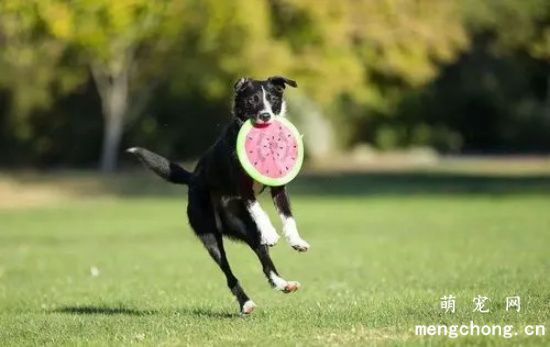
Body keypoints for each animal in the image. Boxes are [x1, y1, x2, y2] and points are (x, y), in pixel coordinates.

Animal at [128, 76, 310, 316]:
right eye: (252, 100)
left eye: (272, 98)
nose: (265, 116)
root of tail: (193, 178)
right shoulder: (244, 188)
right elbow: (259, 210)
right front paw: (271, 232)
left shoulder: (279, 187)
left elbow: (287, 216)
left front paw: (296, 240)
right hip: (210, 237)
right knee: (228, 273)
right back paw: (246, 302)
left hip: (247, 229)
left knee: (264, 260)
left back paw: (282, 283)